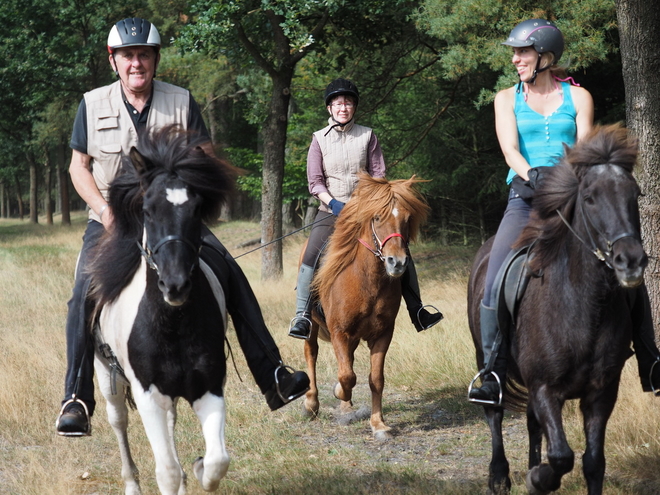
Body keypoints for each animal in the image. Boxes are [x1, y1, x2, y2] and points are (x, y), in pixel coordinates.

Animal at [88, 126, 235, 494]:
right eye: (148, 210)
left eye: (196, 210)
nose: (175, 285)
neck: (172, 324)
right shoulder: (147, 395)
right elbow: (165, 470)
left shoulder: (209, 387)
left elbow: (217, 461)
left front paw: (198, 467)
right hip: (108, 379)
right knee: (119, 422)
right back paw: (131, 484)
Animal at [302, 174, 428, 442]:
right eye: (377, 217)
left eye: (406, 219)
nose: (397, 263)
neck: (367, 280)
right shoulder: (339, 331)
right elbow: (347, 376)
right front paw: (338, 392)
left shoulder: (382, 334)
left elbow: (375, 379)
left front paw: (378, 424)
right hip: (312, 327)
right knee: (312, 353)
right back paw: (311, 404)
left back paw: (346, 407)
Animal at [466, 125, 648, 495]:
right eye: (589, 197)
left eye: (634, 193)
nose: (631, 261)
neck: (583, 306)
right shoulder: (545, 389)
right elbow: (562, 456)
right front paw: (539, 479)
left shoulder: (601, 392)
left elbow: (593, 462)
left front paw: (539, 474)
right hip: (485, 357)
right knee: (495, 413)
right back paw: (499, 476)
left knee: (533, 425)